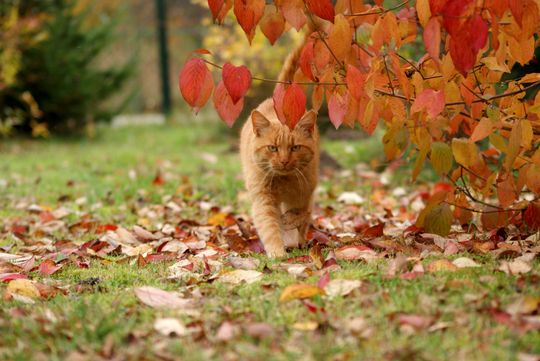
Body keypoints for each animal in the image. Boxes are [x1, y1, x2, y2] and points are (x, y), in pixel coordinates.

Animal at [238, 36, 318, 258]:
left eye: (295, 148)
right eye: (272, 148)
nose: (283, 161)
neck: (284, 182)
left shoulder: (305, 193)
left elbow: (302, 215)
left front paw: (293, 230)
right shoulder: (263, 200)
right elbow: (270, 228)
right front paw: (278, 252)